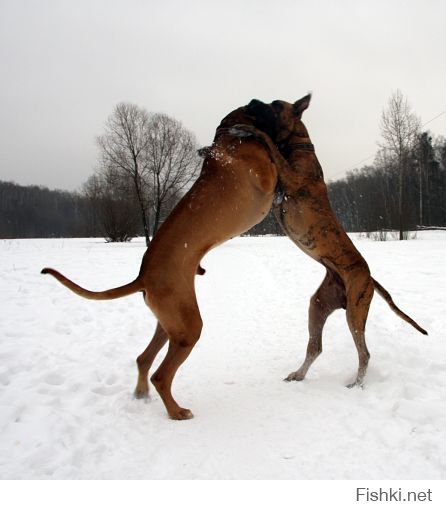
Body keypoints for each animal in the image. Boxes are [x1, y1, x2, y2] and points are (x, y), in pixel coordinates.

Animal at [247, 95, 428, 388]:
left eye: (274, 104)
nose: (252, 101)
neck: (299, 145)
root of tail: (370, 277)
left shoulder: (290, 180)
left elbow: (271, 146)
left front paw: (252, 131)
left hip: (355, 310)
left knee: (364, 353)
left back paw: (357, 384)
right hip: (319, 305)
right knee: (315, 347)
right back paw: (299, 374)